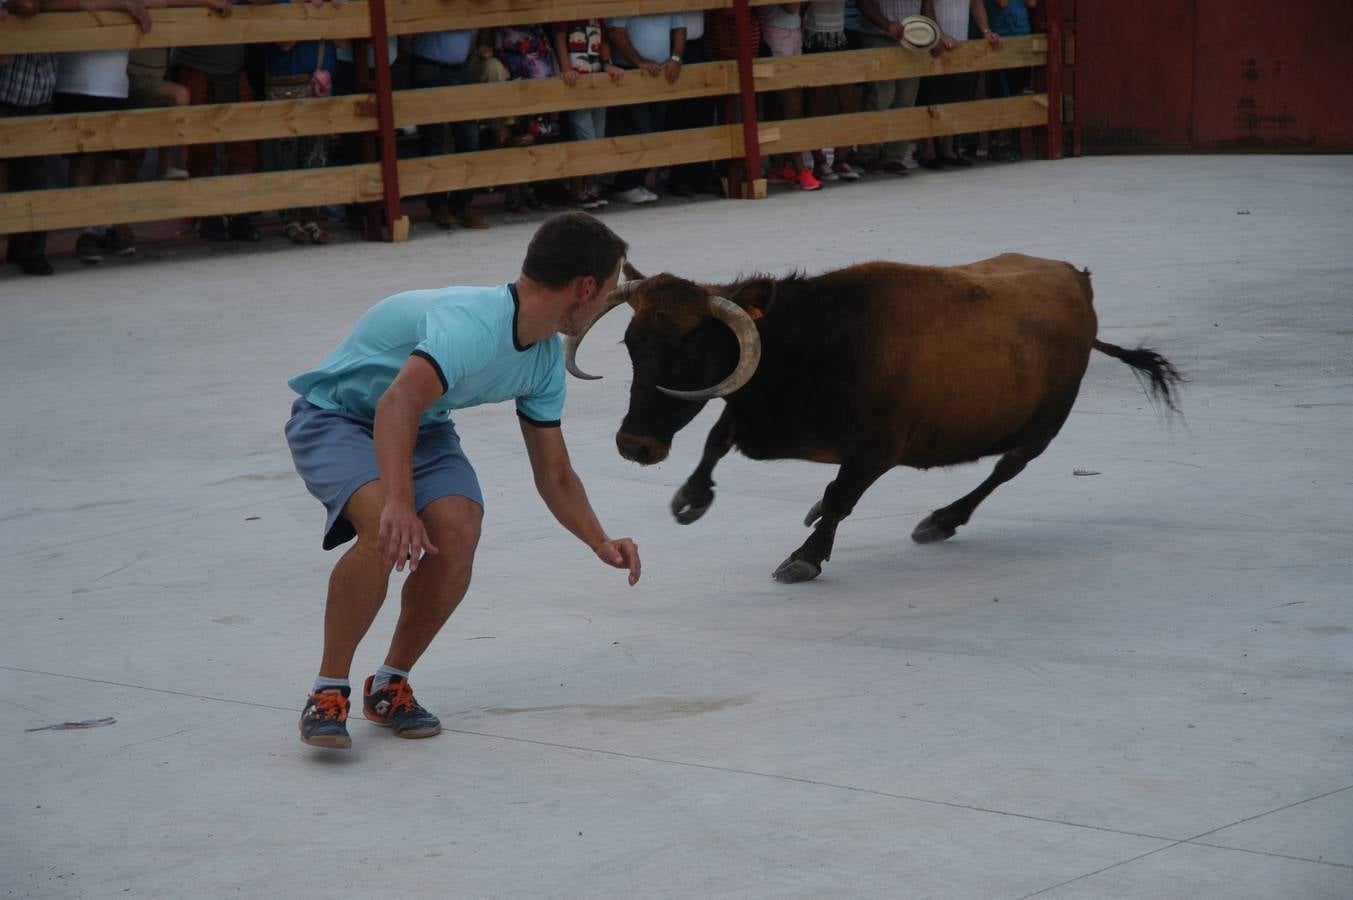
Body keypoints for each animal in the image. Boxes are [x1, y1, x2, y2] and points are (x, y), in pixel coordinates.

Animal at [565, 253, 1179, 581]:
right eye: (631, 345)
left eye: (687, 354)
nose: (633, 445)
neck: (811, 348)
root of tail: (1077, 279)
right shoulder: (754, 418)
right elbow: (717, 439)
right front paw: (692, 499)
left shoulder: (877, 451)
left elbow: (841, 496)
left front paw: (805, 559)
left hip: (1042, 426)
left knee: (1006, 469)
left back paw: (942, 519)